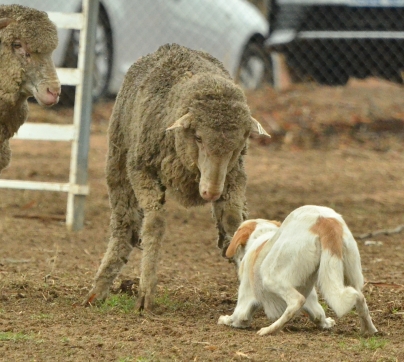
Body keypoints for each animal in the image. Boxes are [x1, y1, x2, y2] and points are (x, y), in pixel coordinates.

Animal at [84, 43, 270, 310]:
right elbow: (155, 222)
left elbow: (233, 221)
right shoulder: (141, 169)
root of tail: (172, 46)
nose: (211, 192)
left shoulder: (234, 176)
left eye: (238, 144)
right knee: (125, 224)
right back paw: (98, 290)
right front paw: (146, 292)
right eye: (199, 137)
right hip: (118, 163)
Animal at [219, 205, 378, 336]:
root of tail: (323, 221)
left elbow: (236, 318)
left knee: (296, 301)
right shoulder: (312, 300)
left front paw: (224, 319)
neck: (262, 237)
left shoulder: (243, 308)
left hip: (270, 275)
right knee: (360, 298)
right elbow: (319, 315)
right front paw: (327, 323)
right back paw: (369, 330)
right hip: (350, 275)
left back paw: (270, 330)